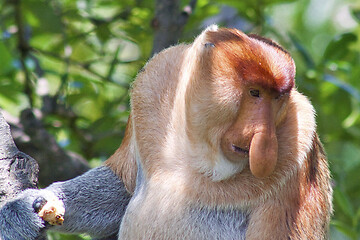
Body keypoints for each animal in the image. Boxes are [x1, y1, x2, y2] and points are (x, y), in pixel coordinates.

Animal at [0, 26, 332, 240]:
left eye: (278, 98)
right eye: (255, 93)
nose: (266, 141)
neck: (201, 150)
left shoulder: (300, 149)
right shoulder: (155, 82)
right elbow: (121, 186)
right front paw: (22, 211)